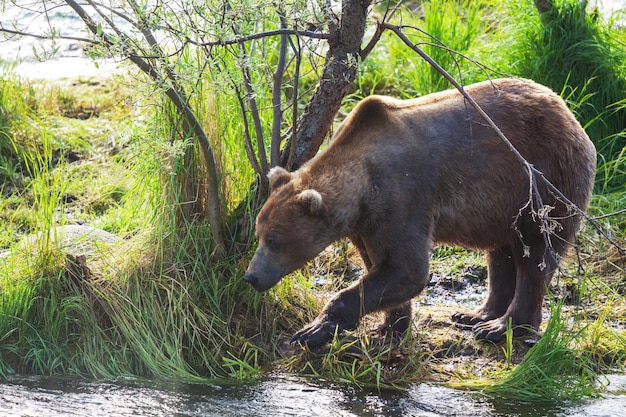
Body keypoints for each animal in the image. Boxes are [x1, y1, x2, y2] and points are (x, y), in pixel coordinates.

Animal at [243, 77, 596, 348]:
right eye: (259, 234)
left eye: (274, 240)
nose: (251, 276)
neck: (363, 186)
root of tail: (568, 112)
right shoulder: (368, 223)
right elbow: (384, 268)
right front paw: (389, 327)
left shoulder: (404, 195)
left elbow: (408, 268)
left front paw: (313, 330)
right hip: (503, 205)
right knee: (502, 254)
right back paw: (476, 314)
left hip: (543, 181)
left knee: (535, 254)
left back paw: (501, 327)